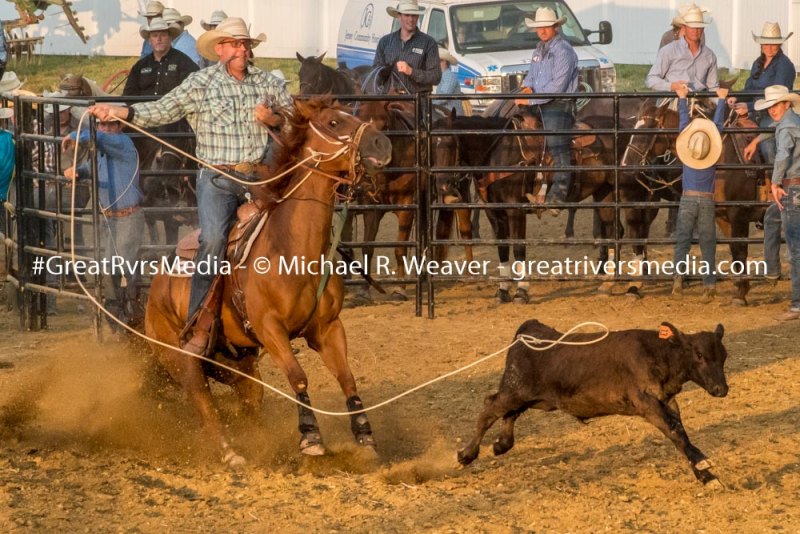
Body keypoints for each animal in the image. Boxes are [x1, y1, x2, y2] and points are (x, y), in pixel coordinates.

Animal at [144, 97, 392, 466]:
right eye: (333, 122)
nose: (382, 144)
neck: (293, 250)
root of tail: (154, 290)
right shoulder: (270, 328)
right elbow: (298, 378)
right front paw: (311, 438)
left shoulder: (328, 328)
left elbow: (347, 379)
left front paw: (365, 438)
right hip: (181, 358)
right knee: (203, 402)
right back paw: (230, 453)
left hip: (240, 364)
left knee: (248, 402)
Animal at [458, 320, 729, 486]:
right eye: (699, 355)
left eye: (724, 356)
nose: (721, 389)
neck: (659, 353)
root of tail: (528, 332)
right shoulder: (646, 403)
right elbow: (674, 432)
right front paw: (702, 463)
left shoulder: (668, 402)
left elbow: (681, 433)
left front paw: (706, 476)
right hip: (514, 390)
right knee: (489, 408)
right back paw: (467, 454)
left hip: (532, 397)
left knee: (509, 413)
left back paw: (501, 444)